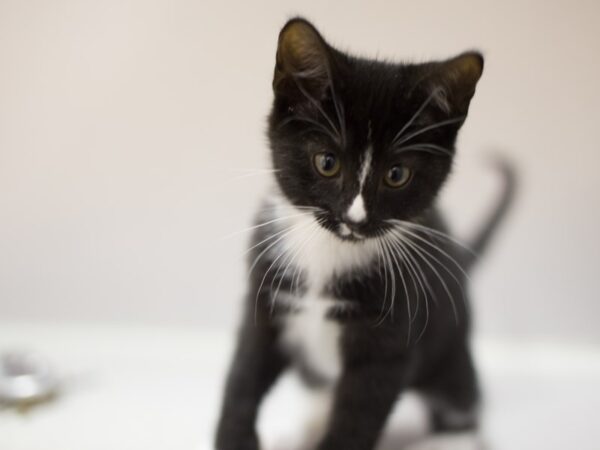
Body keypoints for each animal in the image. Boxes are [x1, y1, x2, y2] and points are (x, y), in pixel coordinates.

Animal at [216, 16, 516, 450]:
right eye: (327, 162)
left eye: (397, 174)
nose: (355, 219)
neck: (329, 253)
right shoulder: (265, 295)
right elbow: (243, 372)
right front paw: (234, 436)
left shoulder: (392, 333)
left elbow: (359, 412)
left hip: (451, 343)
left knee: (462, 398)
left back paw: (449, 439)